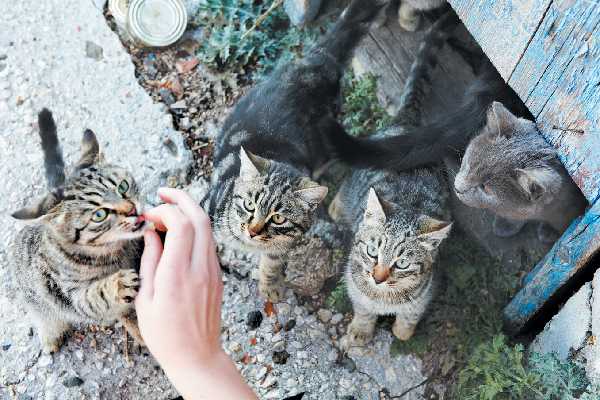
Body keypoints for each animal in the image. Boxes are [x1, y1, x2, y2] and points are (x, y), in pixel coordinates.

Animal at [10, 108, 146, 354]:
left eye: (122, 187)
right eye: (99, 215)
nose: (133, 210)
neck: (117, 250)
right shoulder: (68, 295)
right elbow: (93, 296)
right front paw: (116, 285)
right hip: (40, 304)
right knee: (47, 319)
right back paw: (49, 338)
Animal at [206, 0, 390, 302]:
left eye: (279, 218)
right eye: (249, 205)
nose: (253, 231)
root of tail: (320, 62)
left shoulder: (281, 246)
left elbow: (272, 262)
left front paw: (270, 285)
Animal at [328, 12, 454, 344]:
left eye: (402, 263)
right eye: (372, 251)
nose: (377, 277)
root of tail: (408, 122)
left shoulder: (425, 292)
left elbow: (410, 314)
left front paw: (402, 332)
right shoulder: (355, 284)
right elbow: (362, 309)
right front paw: (361, 331)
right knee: (347, 182)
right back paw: (337, 206)